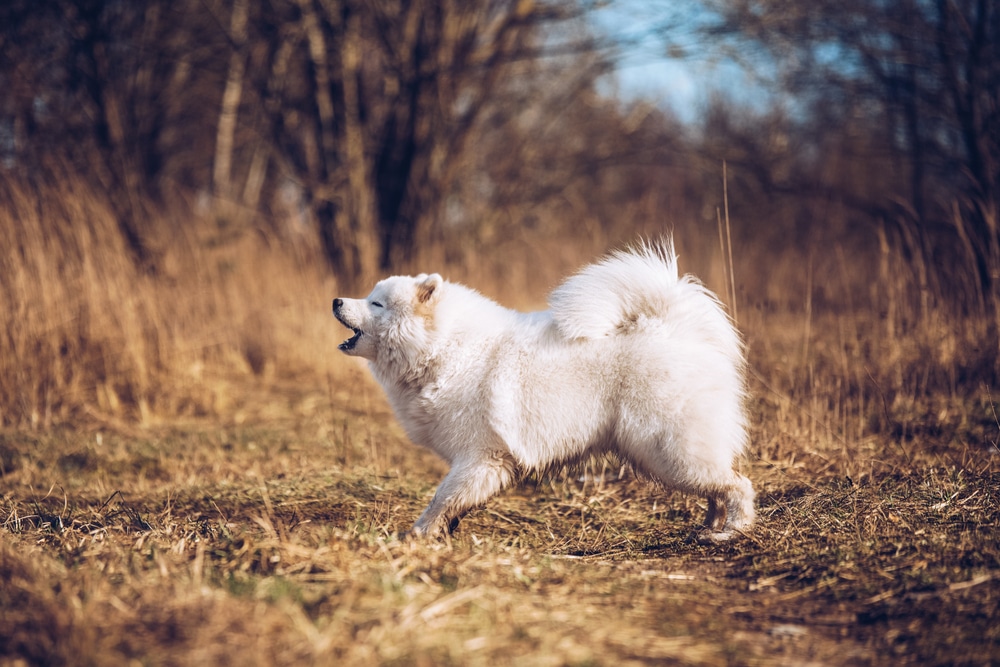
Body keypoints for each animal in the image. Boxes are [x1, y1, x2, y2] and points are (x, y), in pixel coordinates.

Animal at [332, 240, 752, 544]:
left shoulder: (481, 456)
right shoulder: (483, 463)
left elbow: (442, 498)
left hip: (668, 449)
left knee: (736, 485)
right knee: (717, 489)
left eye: (376, 303)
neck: (443, 348)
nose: (336, 300)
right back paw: (708, 527)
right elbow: (454, 503)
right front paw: (441, 532)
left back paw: (730, 531)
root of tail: (675, 329)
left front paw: (416, 534)